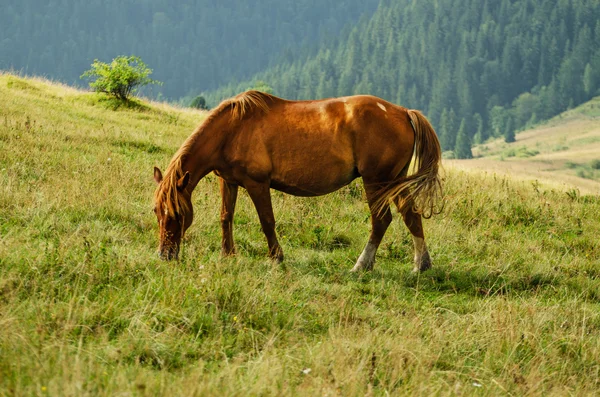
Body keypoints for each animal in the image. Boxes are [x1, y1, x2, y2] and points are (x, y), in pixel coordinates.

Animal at [152, 91, 442, 272]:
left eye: (177, 214)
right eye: (156, 211)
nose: (165, 255)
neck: (232, 129)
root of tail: (403, 112)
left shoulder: (257, 184)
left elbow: (267, 221)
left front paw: (276, 258)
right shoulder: (229, 182)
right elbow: (226, 217)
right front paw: (228, 254)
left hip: (376, 181)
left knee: (381, 221)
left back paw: (361, 266)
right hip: (394, 180)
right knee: (411, 215)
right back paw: (421, 265)